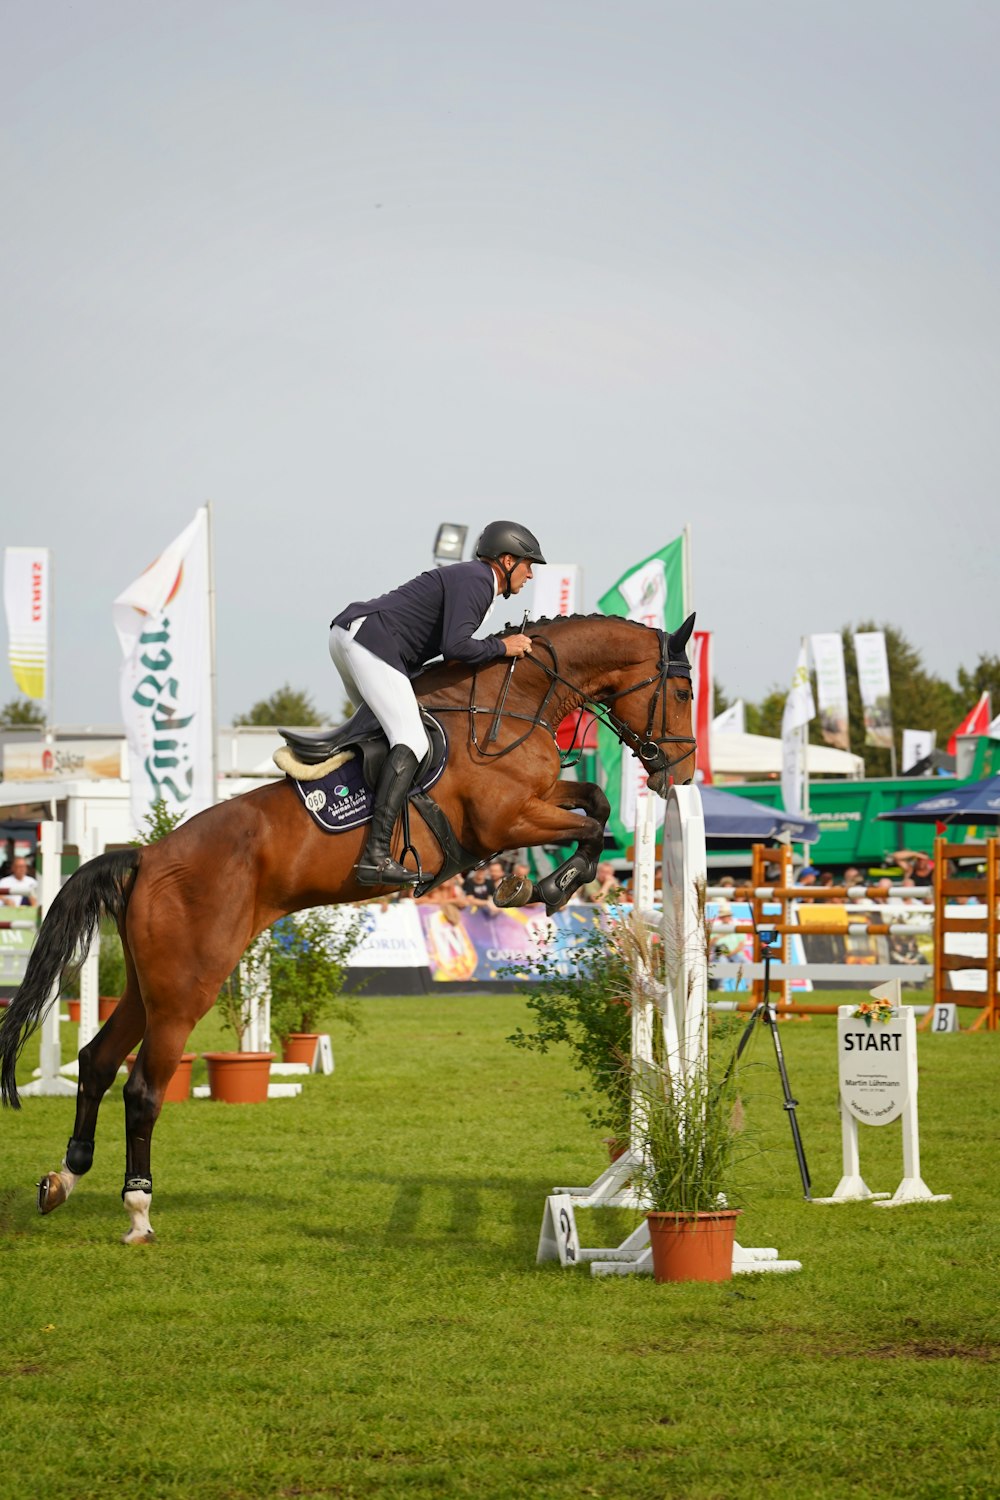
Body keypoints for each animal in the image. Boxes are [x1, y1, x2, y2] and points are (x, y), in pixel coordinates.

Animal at [0, 609, 695, 1242]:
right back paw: (139, 1210)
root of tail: (148, 856)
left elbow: (594, 803)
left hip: (152, 985)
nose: (682, 773)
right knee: (143, 1087)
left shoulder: (538, 802)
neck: (512, 704)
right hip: (186, 987)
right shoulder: (506, 821)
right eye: (685, 693)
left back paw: (64, 1179)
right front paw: (546, 885)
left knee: (96, 1062)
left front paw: (544, 882)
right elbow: (592, 823)